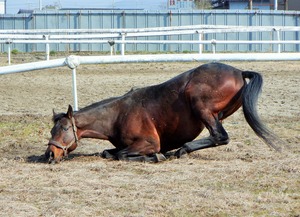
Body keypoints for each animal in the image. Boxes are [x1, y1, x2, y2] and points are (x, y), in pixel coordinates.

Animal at [45, 62, 282, 164]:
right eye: (51, 130)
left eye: (64, 129)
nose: (50, 154)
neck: (117, 115)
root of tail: (239, 72)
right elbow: (108, 152)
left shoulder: (148, 143)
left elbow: (122, 155)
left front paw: (156, 156)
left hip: (202, 108)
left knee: (220, 136)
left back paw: (182, 149)